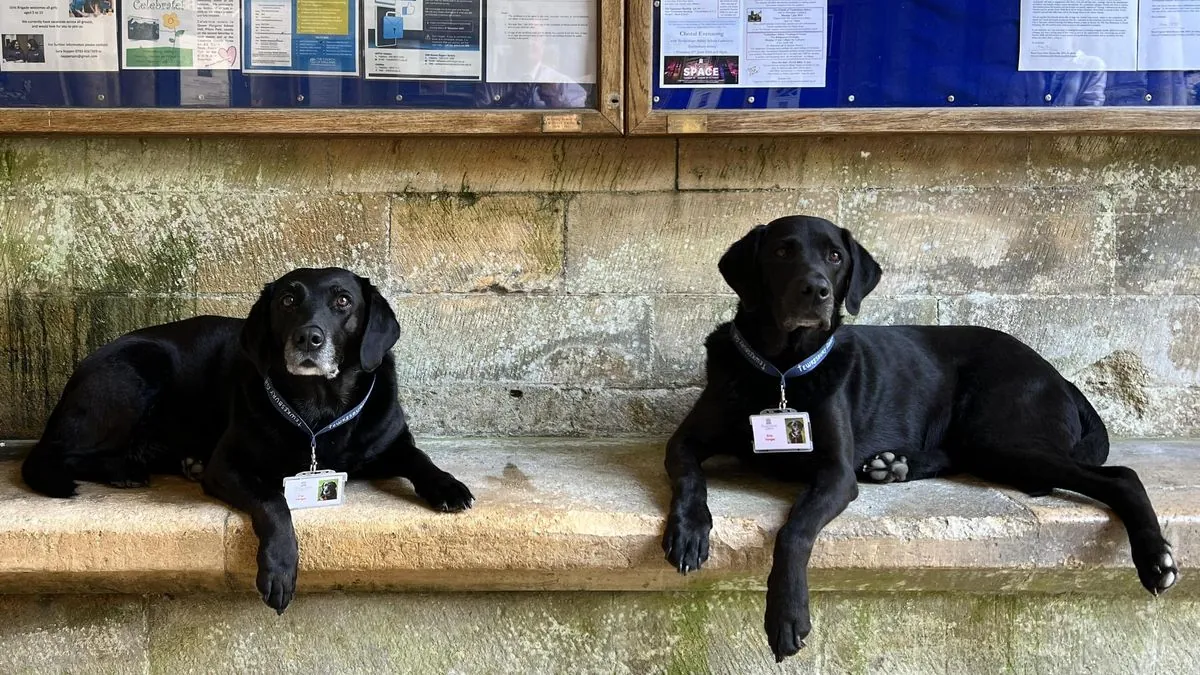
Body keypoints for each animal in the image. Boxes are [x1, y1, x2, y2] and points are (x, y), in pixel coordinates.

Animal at [23, 266, 472, 610]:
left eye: (344, 301)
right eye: (288, 301)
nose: (308, 338)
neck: (318, 411)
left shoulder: (394, 443)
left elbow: (421, 460)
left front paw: (448, 486)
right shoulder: (229, 466)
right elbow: (272, 501)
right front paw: (279, 569)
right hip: (139, 371)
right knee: (63, 454)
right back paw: (124, 471)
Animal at [662, 214, 1176, 658]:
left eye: (834, 256)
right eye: (783, 251)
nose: (817, 291)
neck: (781, 370)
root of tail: (1058, 375)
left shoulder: (835, 474)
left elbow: (795, 530)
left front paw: (787, 615)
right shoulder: (684, 442)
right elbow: (689, 478)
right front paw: (688, 532)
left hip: (1001, 436)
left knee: (1122, 475)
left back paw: (1156, 560)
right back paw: (895, 464)